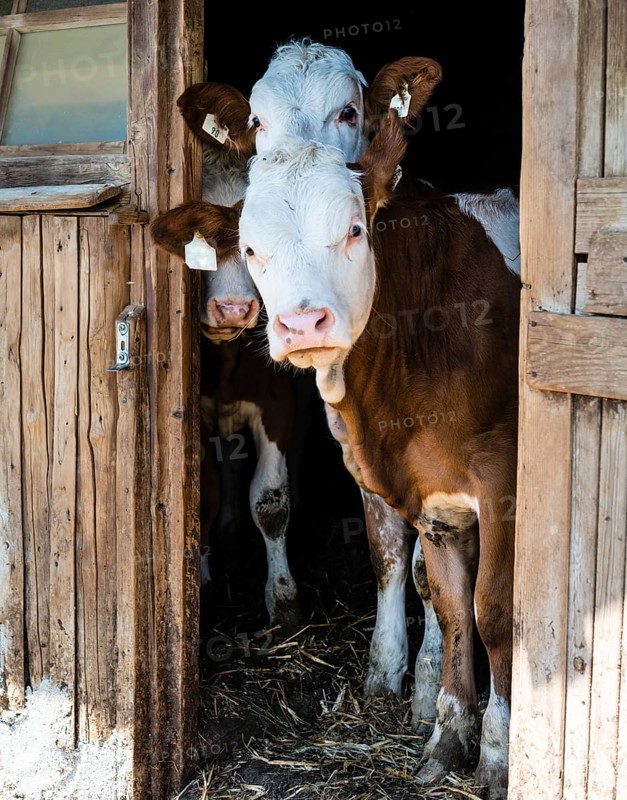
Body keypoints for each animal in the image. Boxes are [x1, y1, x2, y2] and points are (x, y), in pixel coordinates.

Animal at [235, 110, 521, 799]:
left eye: (354, 230)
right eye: (250, 249)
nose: (301, 324)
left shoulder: (503, 481)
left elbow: (494, 610)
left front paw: (497, 756)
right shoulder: (436, 494)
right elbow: (451, 608)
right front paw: (446, 743)